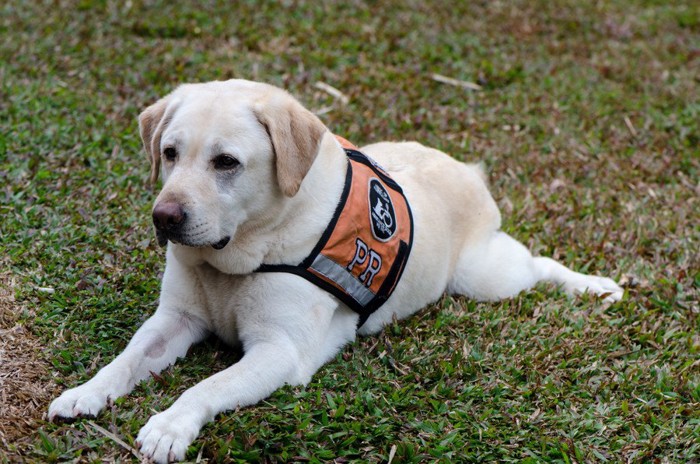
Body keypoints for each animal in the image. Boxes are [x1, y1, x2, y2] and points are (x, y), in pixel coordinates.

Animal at [46, 79, 620, 460]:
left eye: (226, 162)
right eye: (169, 153)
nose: (163, 218)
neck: (244, 254)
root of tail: (466, 169)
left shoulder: (280, 351)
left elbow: (205, 387)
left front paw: (169, 425)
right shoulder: (175, 319)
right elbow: (125, 360)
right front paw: (86, 392)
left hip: (488, 276)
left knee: (538, 264)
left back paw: (595, 286)